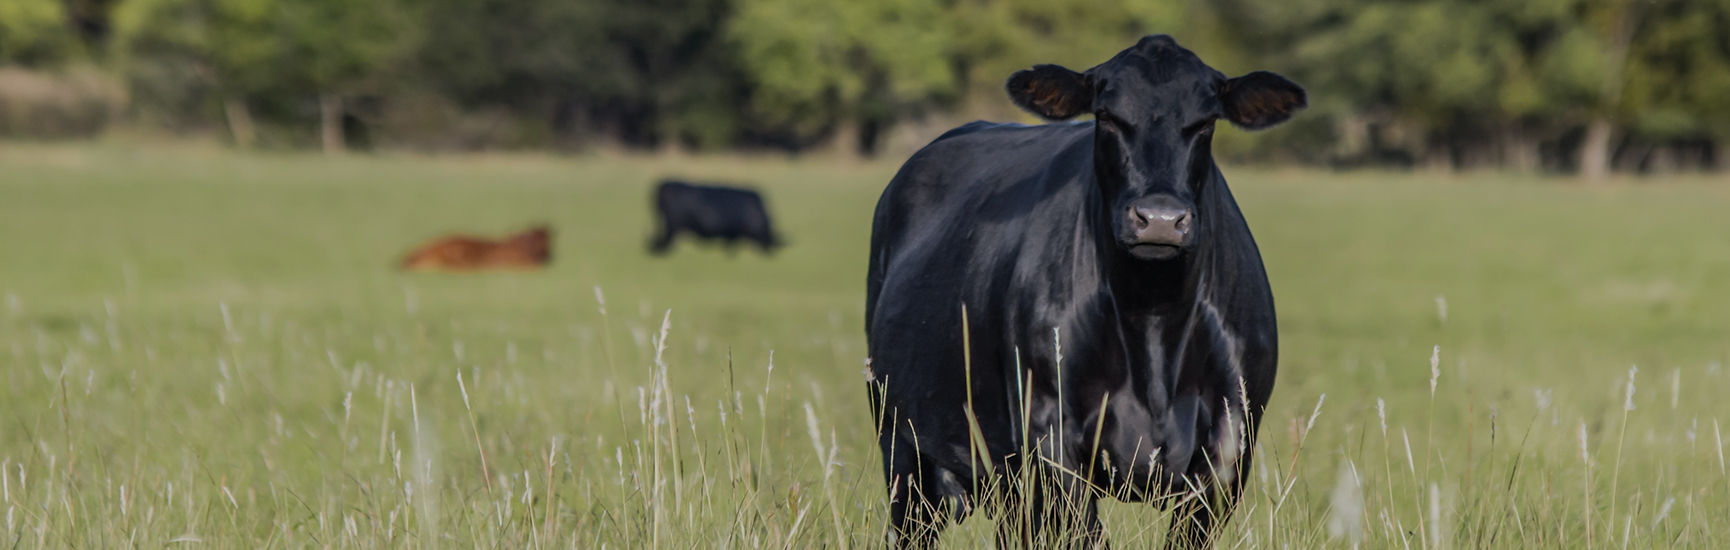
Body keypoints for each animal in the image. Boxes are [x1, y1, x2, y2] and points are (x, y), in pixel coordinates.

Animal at [864, 35, 1305, 549]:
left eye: (1207, 120)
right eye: (1108, 115)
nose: (1160, 219)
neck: (1152, 318)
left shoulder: (1231, 441)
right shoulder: (1050, 433)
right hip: (903, 446)